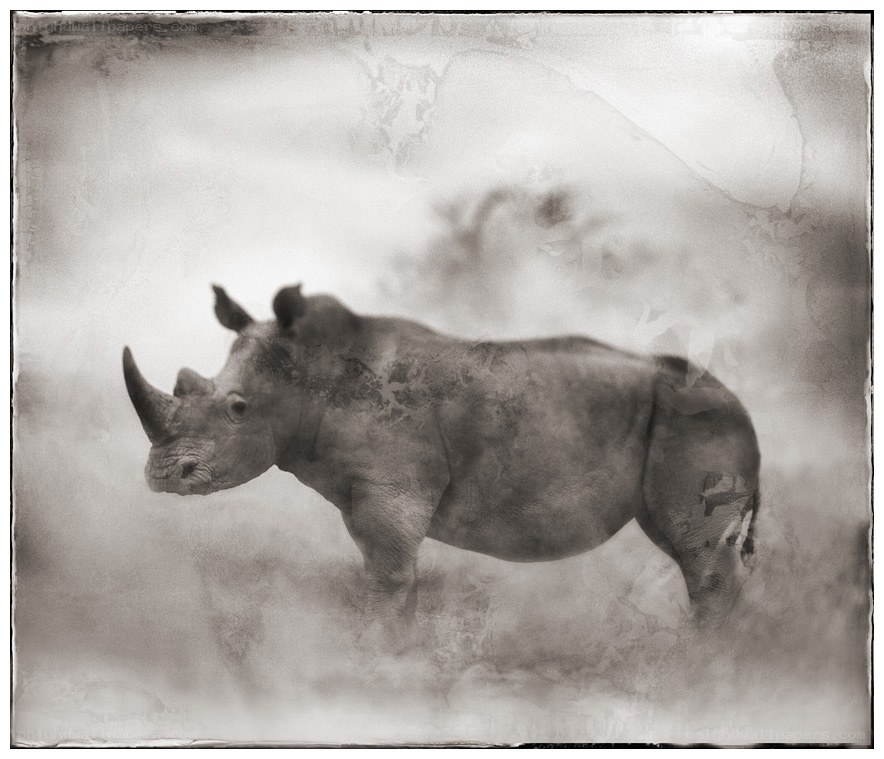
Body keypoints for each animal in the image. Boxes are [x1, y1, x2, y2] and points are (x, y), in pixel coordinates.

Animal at [123, 285, 760, 636]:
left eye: (237, 409)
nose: (162, 476)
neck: (311, 370)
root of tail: (741, 402)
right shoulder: (374, 489)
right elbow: (393, 574)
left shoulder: (391, 484)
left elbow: (387, 577)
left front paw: (373, 658)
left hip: (696, 420)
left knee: (699, 560)